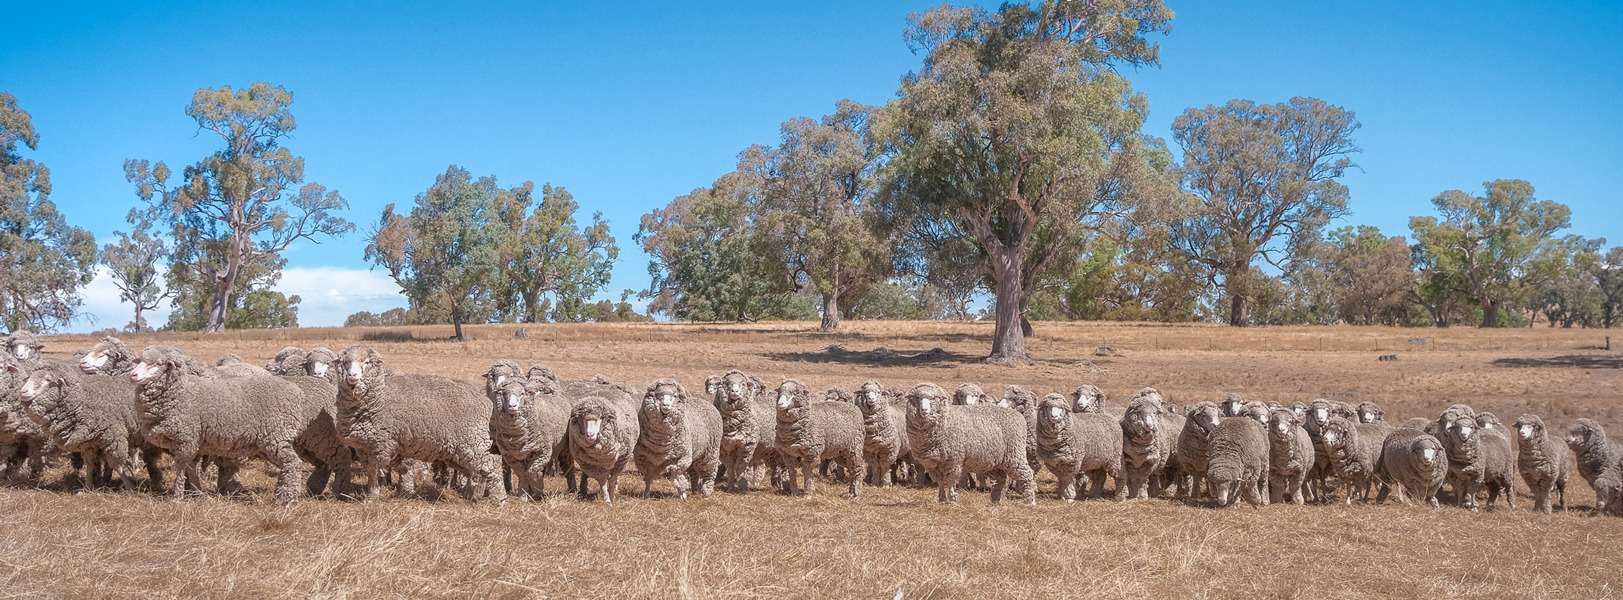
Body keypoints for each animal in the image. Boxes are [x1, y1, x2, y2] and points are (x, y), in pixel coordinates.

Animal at [15, 363, 163, 489]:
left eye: (47, 380)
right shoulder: (89, 442)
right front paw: (87, 486)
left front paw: (129, 486)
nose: (22, 392)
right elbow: (90, 465)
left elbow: (117, 465)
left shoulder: (114, 437)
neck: (82, 399)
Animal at [129, 343, 322, 502]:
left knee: (293, 463)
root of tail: (296, 392)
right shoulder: (192, 443)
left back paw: (286, 499)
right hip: (268, 442)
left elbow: (181, 470)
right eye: (138, 361)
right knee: (288, 464)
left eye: (156, 363)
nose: (132, 375)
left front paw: (177, 497)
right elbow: (191, 469)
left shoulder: (187, 439)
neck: (182, 391)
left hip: (275, 436)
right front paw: (196, 492)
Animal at [332, 343, 503, 502]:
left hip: (476, 443)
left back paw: (498, 500)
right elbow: (371, 471)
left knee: (493, 470)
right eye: (345, 362)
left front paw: (372, 497)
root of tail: (486, 402)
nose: (352, 375)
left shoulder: (380, 445)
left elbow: (374, 472)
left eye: (366, 362)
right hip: (458, 453)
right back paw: (472, 496)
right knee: (477, 473)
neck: (379, 397)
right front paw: (372, 494)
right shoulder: (365, 446)